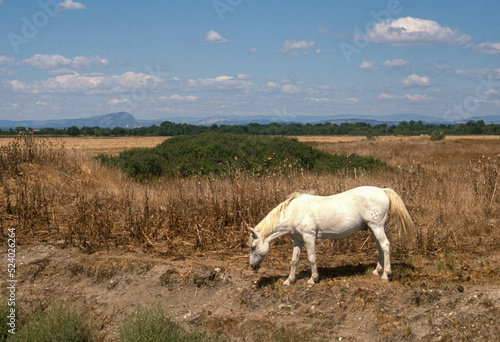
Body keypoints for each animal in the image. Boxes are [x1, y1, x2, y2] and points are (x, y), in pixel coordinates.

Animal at [248, 186, 416, 284]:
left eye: (253, 247)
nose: (253, 266)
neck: (294, 212)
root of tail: (382, 190)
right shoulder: (297, 240)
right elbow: (294, 260)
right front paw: (289, 280)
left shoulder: (309, 237)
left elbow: (311, 258)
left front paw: (313, 279)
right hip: (374, 228)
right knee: (380, 247)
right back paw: (376, 271)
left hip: (377, 227)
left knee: (385, 246)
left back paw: (386, 274)